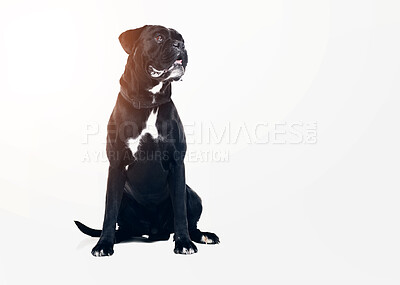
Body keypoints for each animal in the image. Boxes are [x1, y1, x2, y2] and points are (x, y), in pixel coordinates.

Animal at [75, 25, 219, 255]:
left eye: (182, 39)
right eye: (158, 37)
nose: (180, 45)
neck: (148, 101)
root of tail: (154, 232)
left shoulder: (177, 164)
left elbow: (180, 211)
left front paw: (184, 243)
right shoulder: (116, 166)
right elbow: (109, 213)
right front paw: (104, 244)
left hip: (193, 195)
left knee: (190, 221)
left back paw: (202, 235)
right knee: (122, 223)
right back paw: (117, 237)